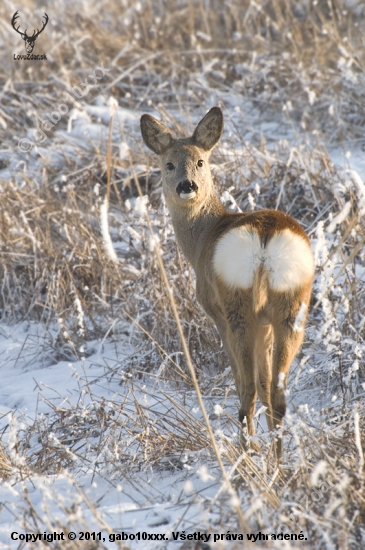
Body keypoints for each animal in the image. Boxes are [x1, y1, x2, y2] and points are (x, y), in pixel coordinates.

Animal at [139, 105, 312, 460]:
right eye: (169, 164)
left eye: (200, 161)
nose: (187, 185)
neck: (204, 237)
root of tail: (265, 238)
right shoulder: (266, 324)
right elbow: (266, 385)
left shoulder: (215, 311)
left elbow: (248, 383)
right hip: (292, 304)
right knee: (277, 395)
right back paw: (278, 464)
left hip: (237, 304)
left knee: (247, 390)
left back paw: (247, 454)